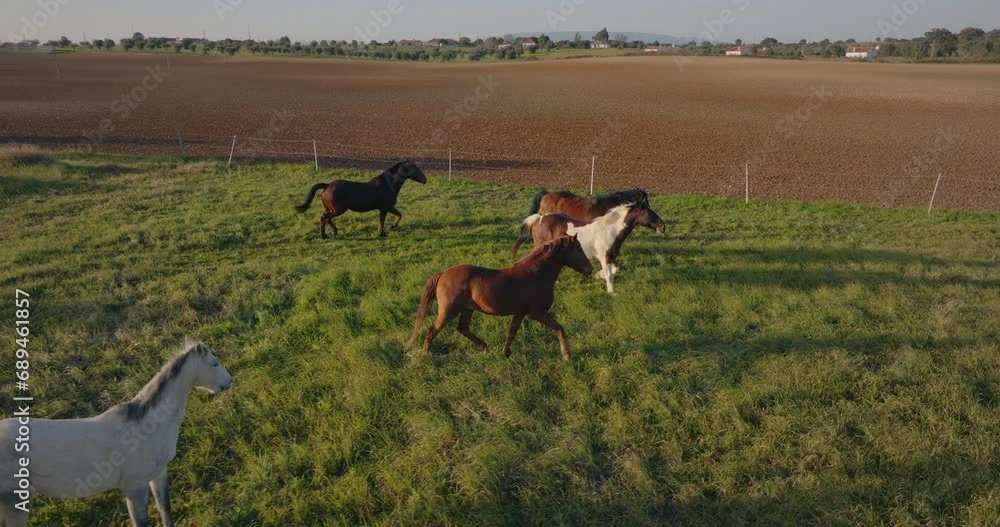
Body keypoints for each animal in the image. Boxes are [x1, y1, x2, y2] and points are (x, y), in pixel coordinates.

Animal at [0, 340, 232, 527]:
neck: (147, 427)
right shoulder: (134, 487)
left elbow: (165, 507)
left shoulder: (158, 474)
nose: (229, 381)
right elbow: (141, 522)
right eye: (214, 363)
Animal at [295, 160, 427, 239]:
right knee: (324, 218)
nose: (425, 180)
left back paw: (333, 232)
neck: (387, 184)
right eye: (416, 169)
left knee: (325, 218)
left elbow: (396, 215)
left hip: (331, 209)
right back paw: (324, 235)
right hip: (338, 210)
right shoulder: (385, 207)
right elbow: (387, 219)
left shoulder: (385, 208)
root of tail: (327, 185)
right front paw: (385, 231)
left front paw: (388, 228)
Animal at [406, 236, 593, 360]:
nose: (590, 269)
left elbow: (511, 333)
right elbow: (559, 328)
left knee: (462, 329)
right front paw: (567, 355)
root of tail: (443, 273)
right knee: (432, 330)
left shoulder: (520, 313)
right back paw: (426, 354)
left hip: (467, 310)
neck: (537, 274)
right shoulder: (537, 313)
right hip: (449, 311)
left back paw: (485, 348)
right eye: (578, 249)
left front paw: (506, 353)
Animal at [511, 204, 663, 294]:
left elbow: (614, 270)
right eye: (650, 213)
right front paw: (611, 292)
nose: (663, 226)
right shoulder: (604, 257)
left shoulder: (611, 257)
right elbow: (609, 275)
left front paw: (597, 276)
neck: (610, 230)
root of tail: (538, 218)